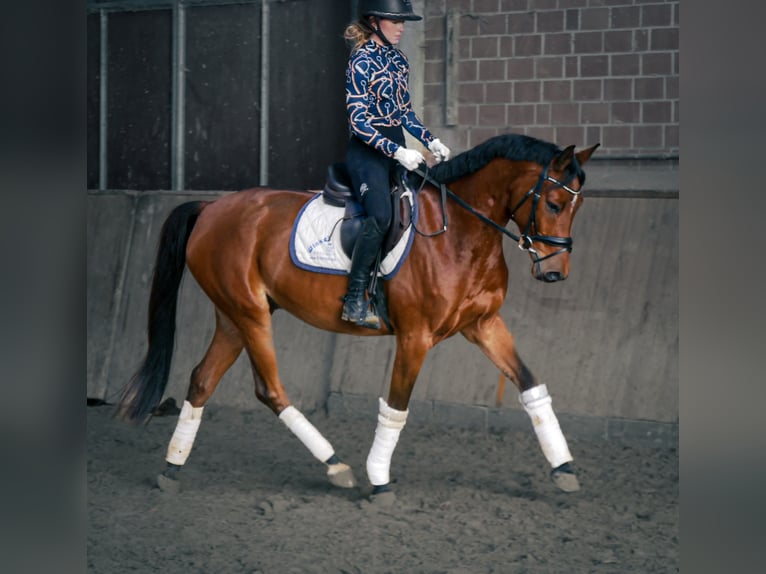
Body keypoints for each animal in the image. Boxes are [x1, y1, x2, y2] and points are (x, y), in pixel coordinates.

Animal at [117, 133, 604, 502]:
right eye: (554, 203)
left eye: (578, 207)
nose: (556, 272)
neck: (461, 233)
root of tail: (211, 208)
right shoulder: (415, 336)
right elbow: (396, 408)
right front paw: (380, 480)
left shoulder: (483, 326)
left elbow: (531, 386)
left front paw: (563, 467)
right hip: (249, 313)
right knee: (269, 389)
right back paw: (336, 466)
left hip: (233, 317)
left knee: (202, 380)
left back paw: (172, 468)